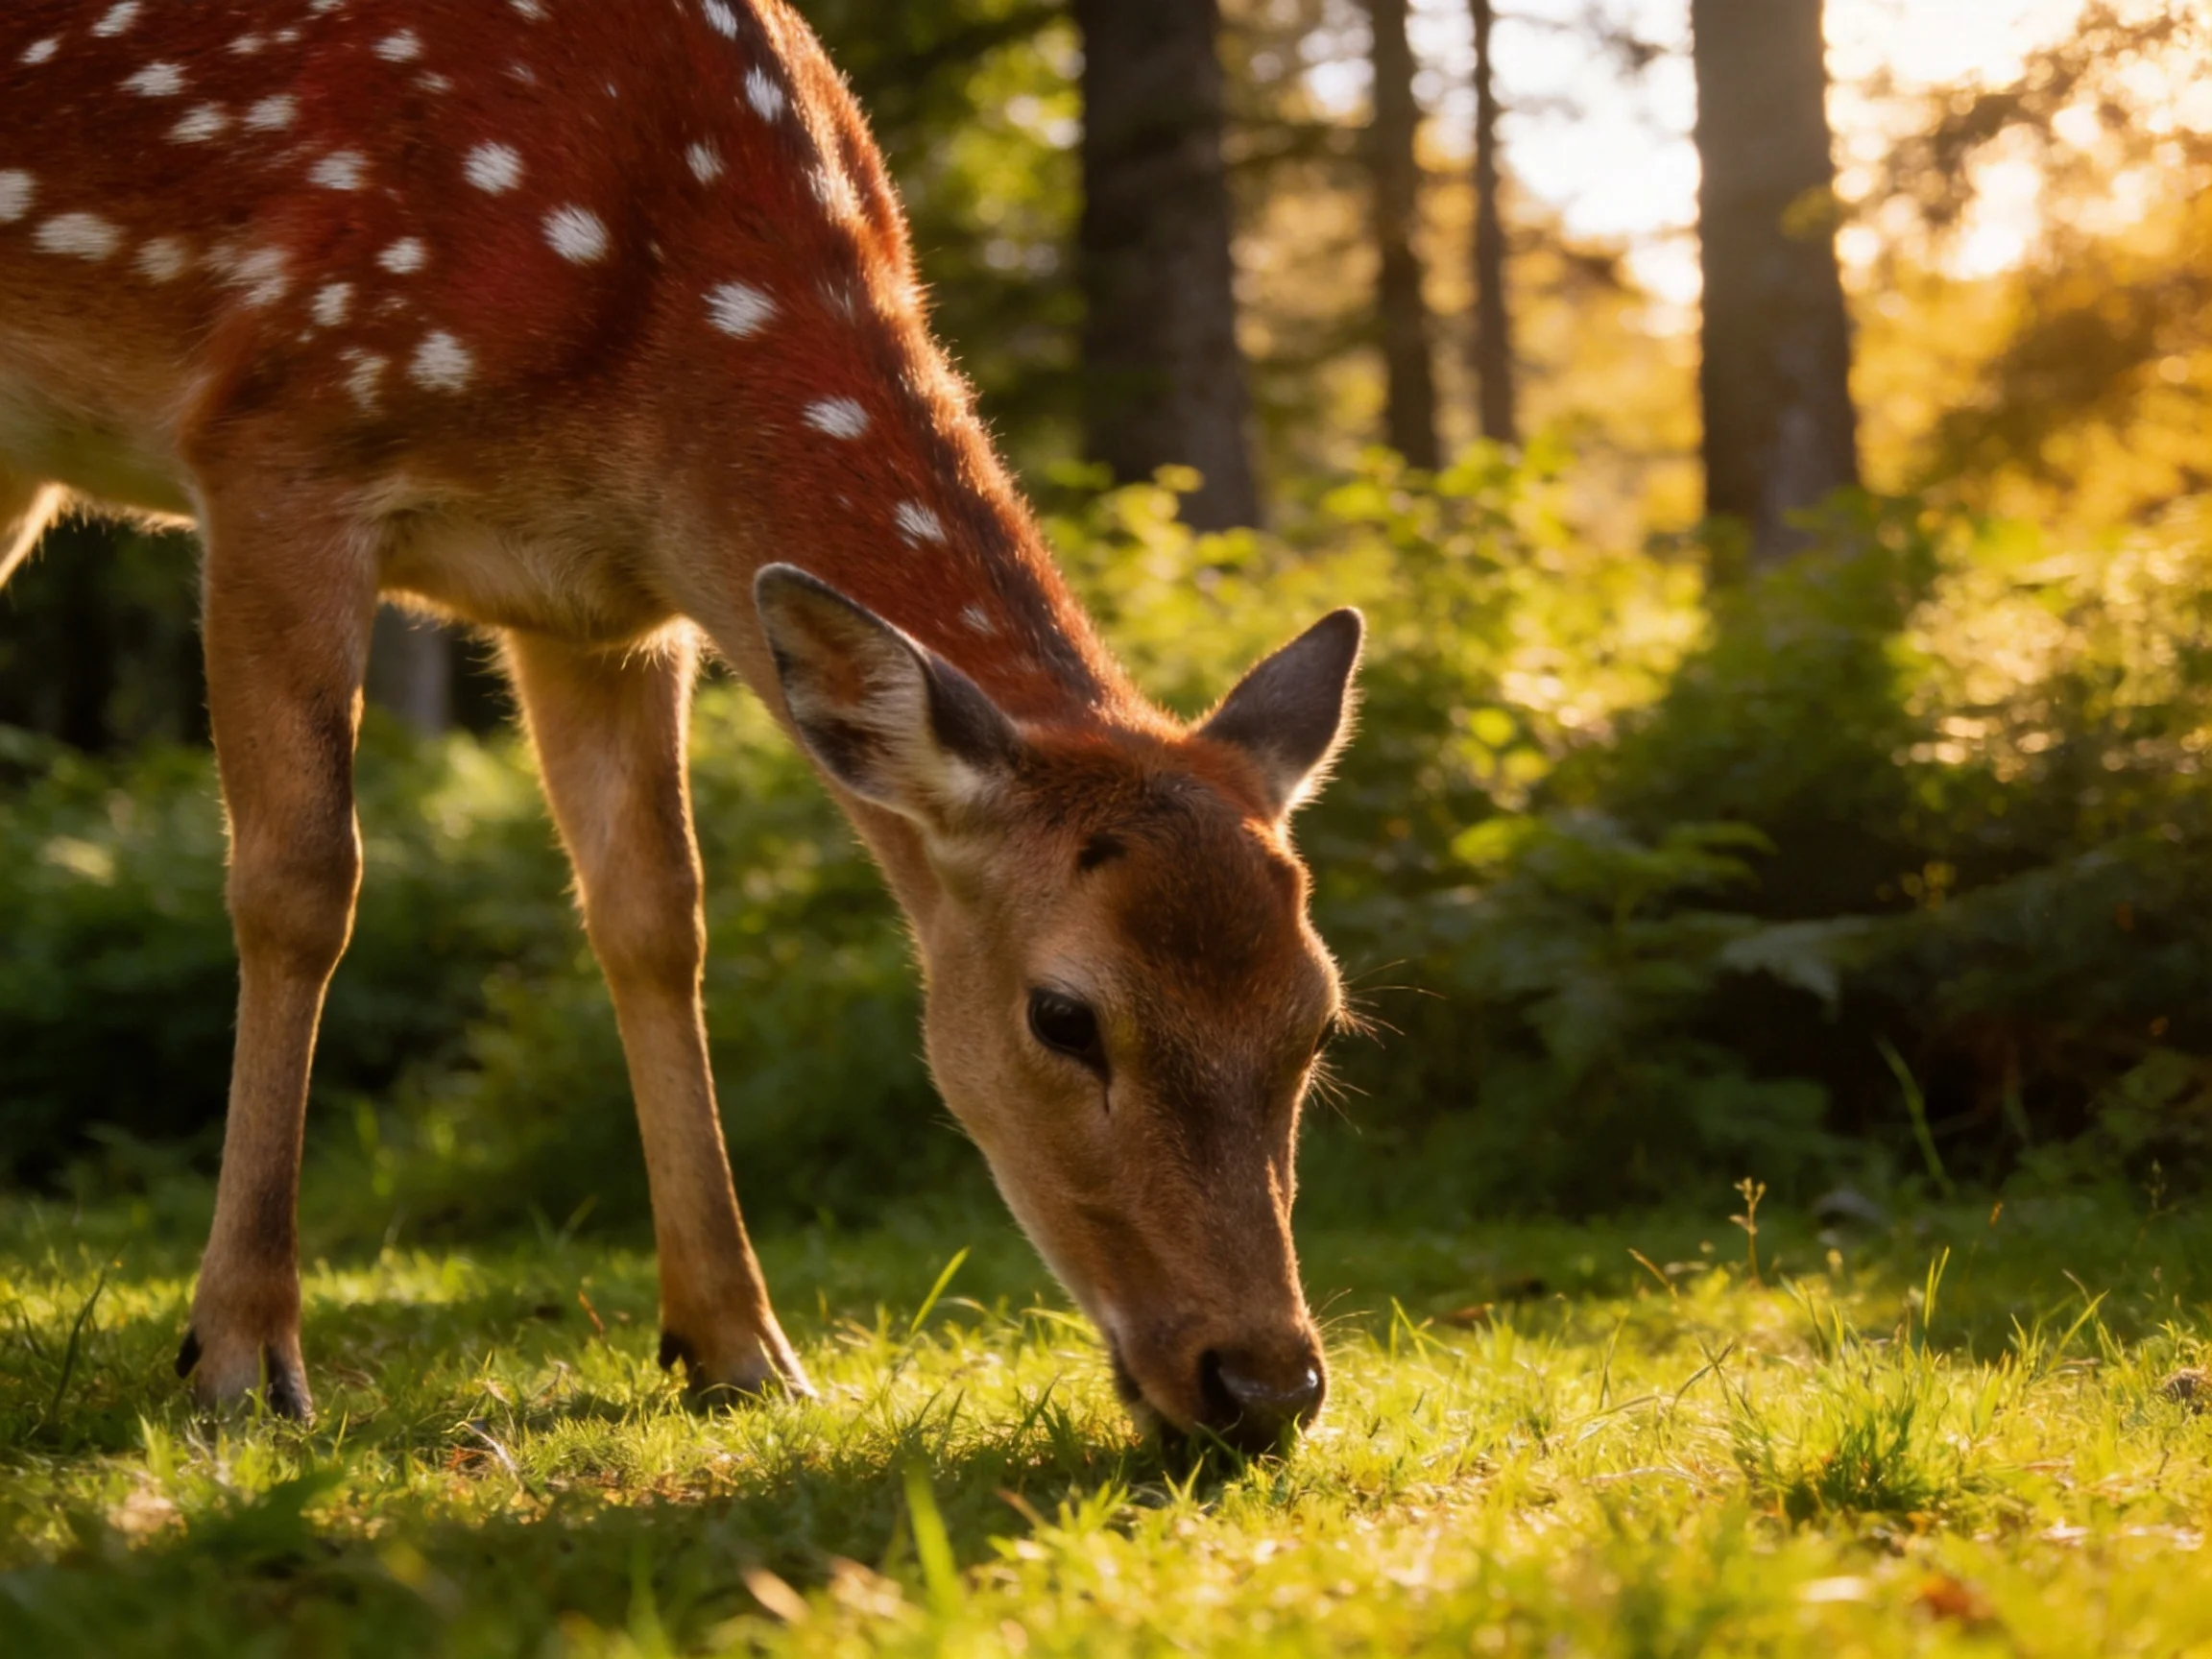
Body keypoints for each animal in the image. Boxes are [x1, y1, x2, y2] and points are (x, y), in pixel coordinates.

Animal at [0, 0, 1362, 1453]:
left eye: (1318, 1019)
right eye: (1063, 1016)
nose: (1264, 1384)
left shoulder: (599, 601)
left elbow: (656, 918)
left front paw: (738, 1345)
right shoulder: (278, 436)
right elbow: (302, 886)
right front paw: (241, 1354)